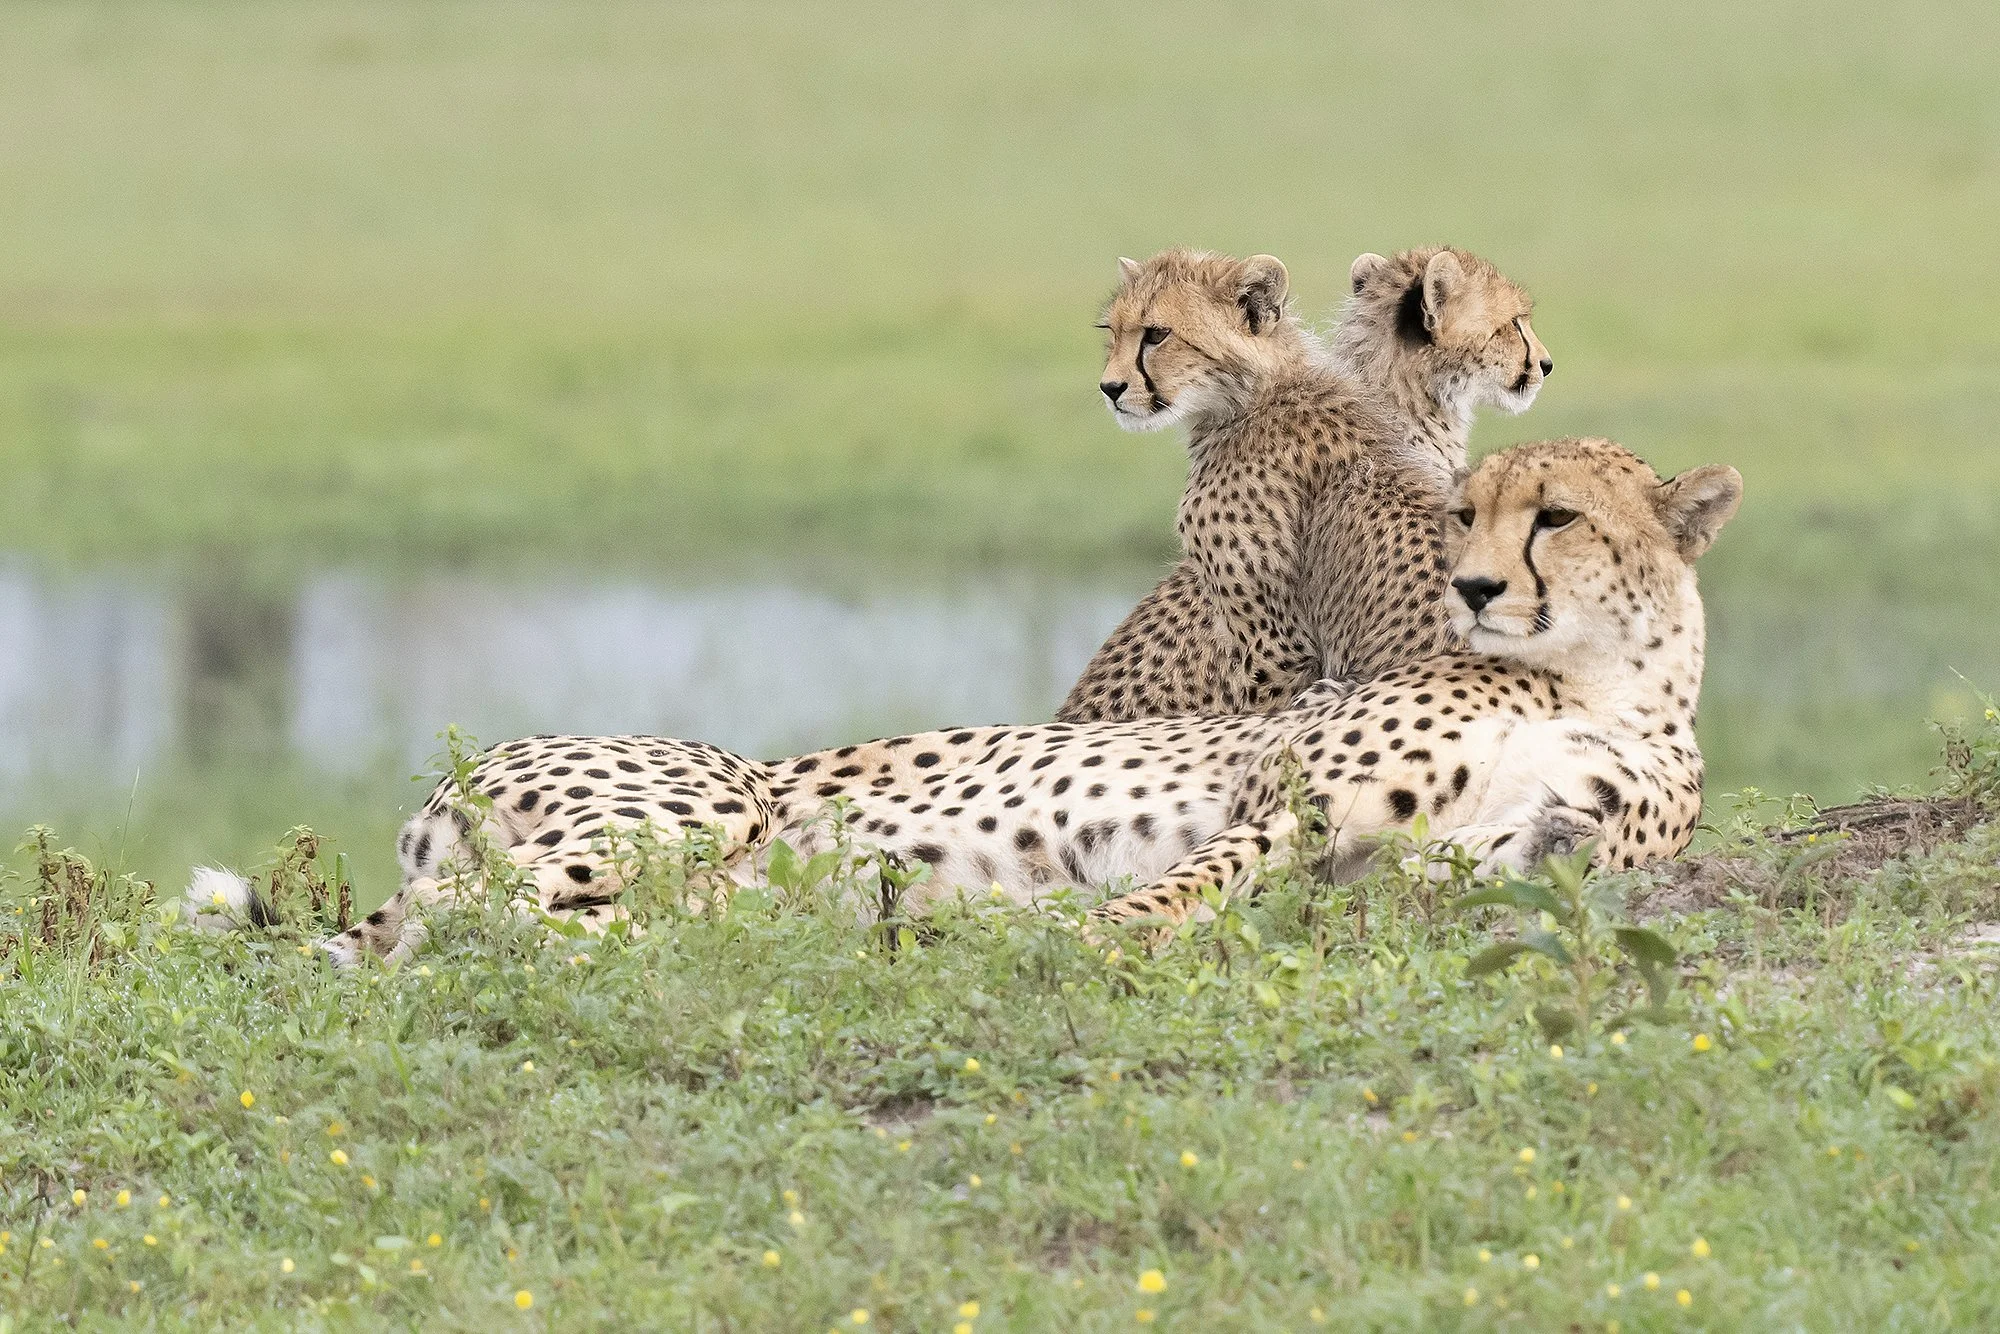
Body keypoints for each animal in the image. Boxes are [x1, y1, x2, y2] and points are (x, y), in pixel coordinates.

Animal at [195, 439, 1738, 964]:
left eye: (1553, 516)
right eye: (1465, 511)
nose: (1472, 586)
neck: (1591, 677)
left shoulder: (1503, 849)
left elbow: (1486, 866)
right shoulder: (1290, 800)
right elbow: (1185, 886)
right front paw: (1093, 929)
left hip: (704, 878)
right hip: (700, 804)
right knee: (458, 914)